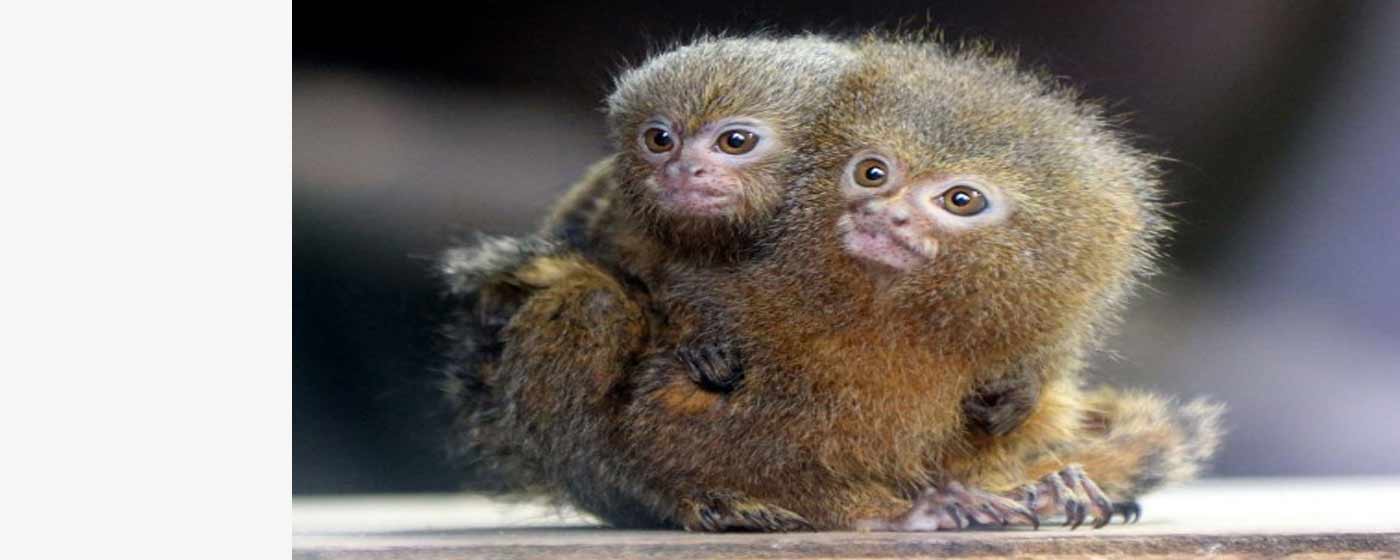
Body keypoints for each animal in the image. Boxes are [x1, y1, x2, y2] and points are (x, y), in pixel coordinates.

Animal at [440, 33, 1223, 532]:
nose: (884, 214)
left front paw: (1035, 472)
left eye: (960, 200)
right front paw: (902, 515)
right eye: (873, 173)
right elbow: (677, 417)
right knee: (591, 304)